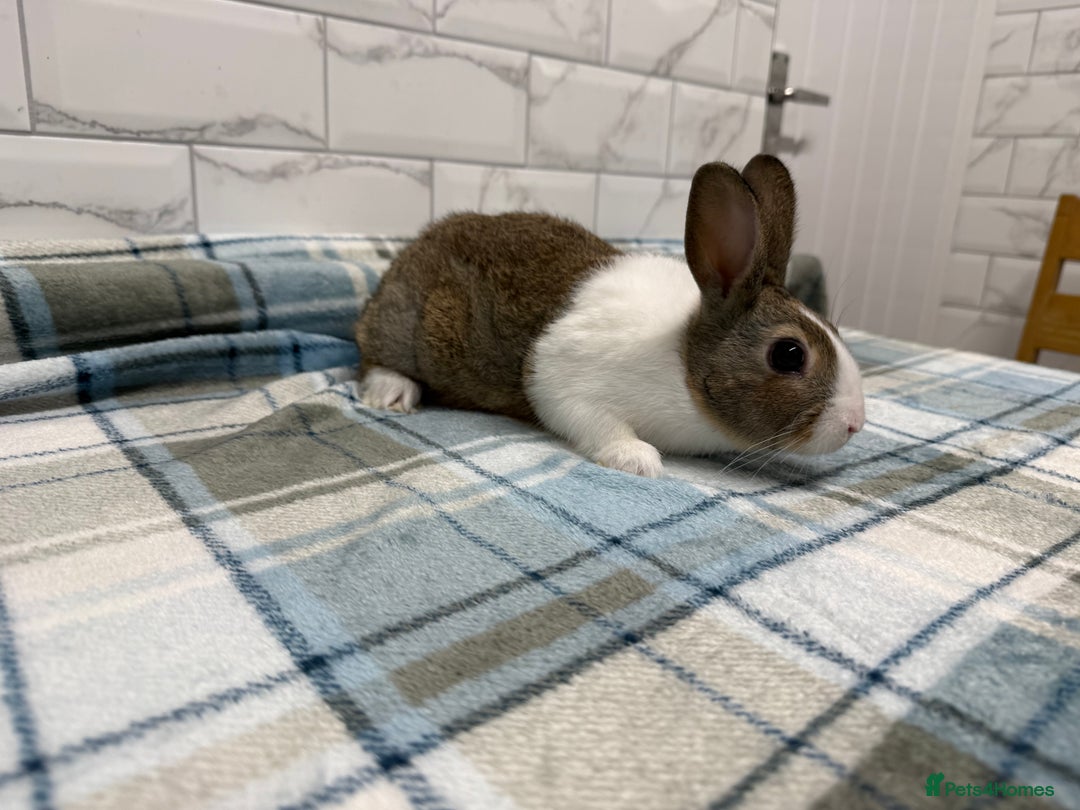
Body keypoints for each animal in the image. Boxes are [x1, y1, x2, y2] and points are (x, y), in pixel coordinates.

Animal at [354, 154, 865, 478]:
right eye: (789, 354)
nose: (855, 424)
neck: (685, 360)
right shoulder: (564, 378)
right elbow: (594, 420)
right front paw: (638, 460)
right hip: (406, 328)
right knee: (374, 353)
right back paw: (391, 393)